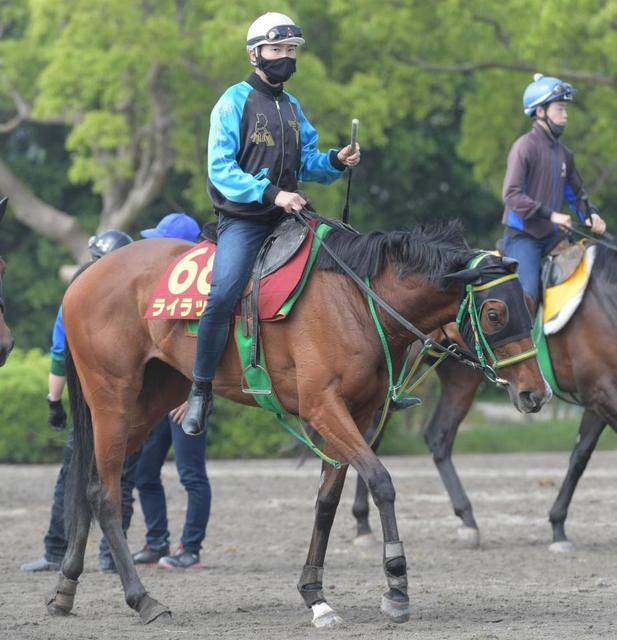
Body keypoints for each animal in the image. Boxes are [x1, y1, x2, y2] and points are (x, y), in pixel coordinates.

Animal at [49, 219, 548, 624]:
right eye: (495, 313)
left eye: (529, 305)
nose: (535, 393)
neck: (356, 301)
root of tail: (87, 275)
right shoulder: (323, 407)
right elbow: (381, 481)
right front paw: (396, 584)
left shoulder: (355, 413)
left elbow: (327, 500)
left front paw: (315, 594)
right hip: (113, 399)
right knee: (106, 494)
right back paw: (143, 599)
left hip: (150, 400)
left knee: (89, 482)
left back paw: (66, 587)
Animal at [352, 241, 616, 556]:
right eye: (495, 315)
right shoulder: (602, 393)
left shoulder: (597, 400)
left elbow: (579, 457)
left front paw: (558, 527)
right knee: (372, 434)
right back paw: (363, 525)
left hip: (461, 379)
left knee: (438, 436)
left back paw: (467, 520)